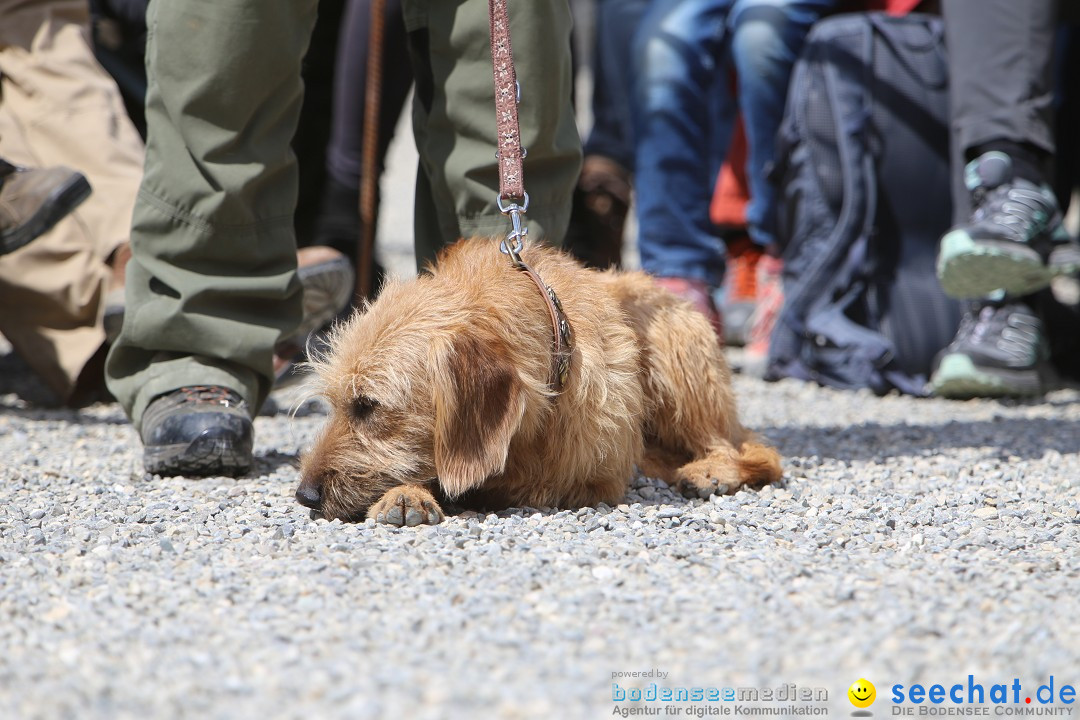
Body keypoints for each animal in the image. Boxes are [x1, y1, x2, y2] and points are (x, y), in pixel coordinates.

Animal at [298, 236, 777, 524]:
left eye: (367, 405)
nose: (304, 495)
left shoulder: (587, 479)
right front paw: (405, 494)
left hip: (674, 356)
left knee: (753, 452)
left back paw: (712, 471)